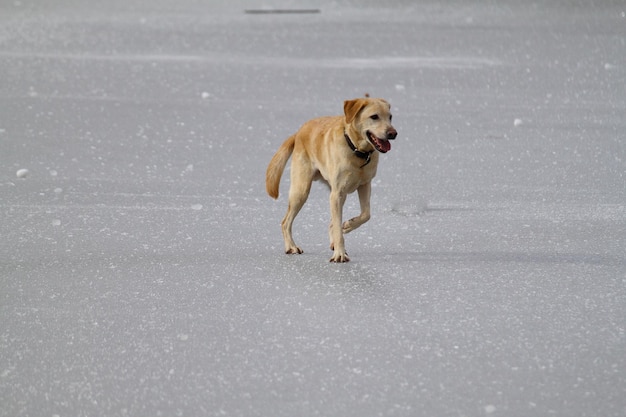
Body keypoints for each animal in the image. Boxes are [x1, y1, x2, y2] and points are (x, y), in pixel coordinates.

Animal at [264, 97, 394, 260]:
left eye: (390, 117)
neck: (357, 151)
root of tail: (299, 132)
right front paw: (339, 255)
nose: (393, 133)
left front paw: (348, 225)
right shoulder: (337, 194)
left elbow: (366, 215)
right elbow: (338, 227)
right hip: (301, 191)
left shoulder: (364, 185)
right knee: (285, 222)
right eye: (374, 116)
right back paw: (291, 247)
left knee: (331, 223)